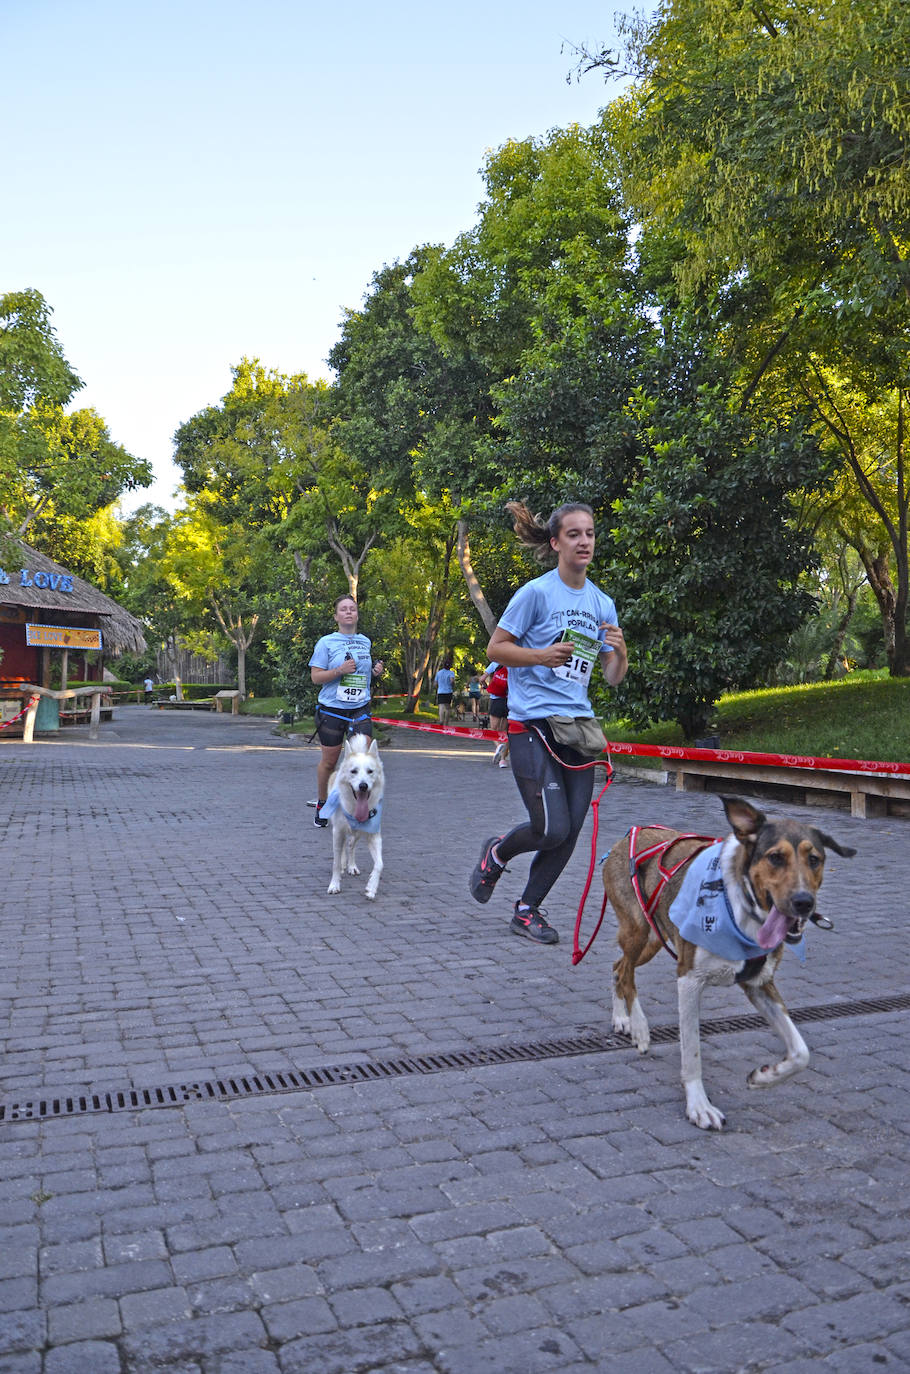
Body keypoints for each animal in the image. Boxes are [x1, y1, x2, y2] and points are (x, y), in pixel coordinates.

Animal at [324, 730, 384, 901]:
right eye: (353, 771)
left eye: (370, 771)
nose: (363, 786)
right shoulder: (337, 832)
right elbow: (335, 862)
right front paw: (334, 885)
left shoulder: (374, 835)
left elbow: (379, 864)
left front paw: (371, 889)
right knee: (344, 848)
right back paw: (344, 866)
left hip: (357, 833)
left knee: (351, 846)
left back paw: (352, 866)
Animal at [604, 796, 857, 1126]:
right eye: (776, 858)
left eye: (814, 859)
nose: (804, 902)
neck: (741, 910)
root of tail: (630, 835)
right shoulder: (688, 979)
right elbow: (692, 1053)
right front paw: (699, 1106)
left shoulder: (759, 983)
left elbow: (801, 1052)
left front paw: (766, 1076)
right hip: (638, 930)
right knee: (626, 973)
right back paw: (640, 1029)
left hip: (654, 938)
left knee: (619, 967)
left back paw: (622, 1018)